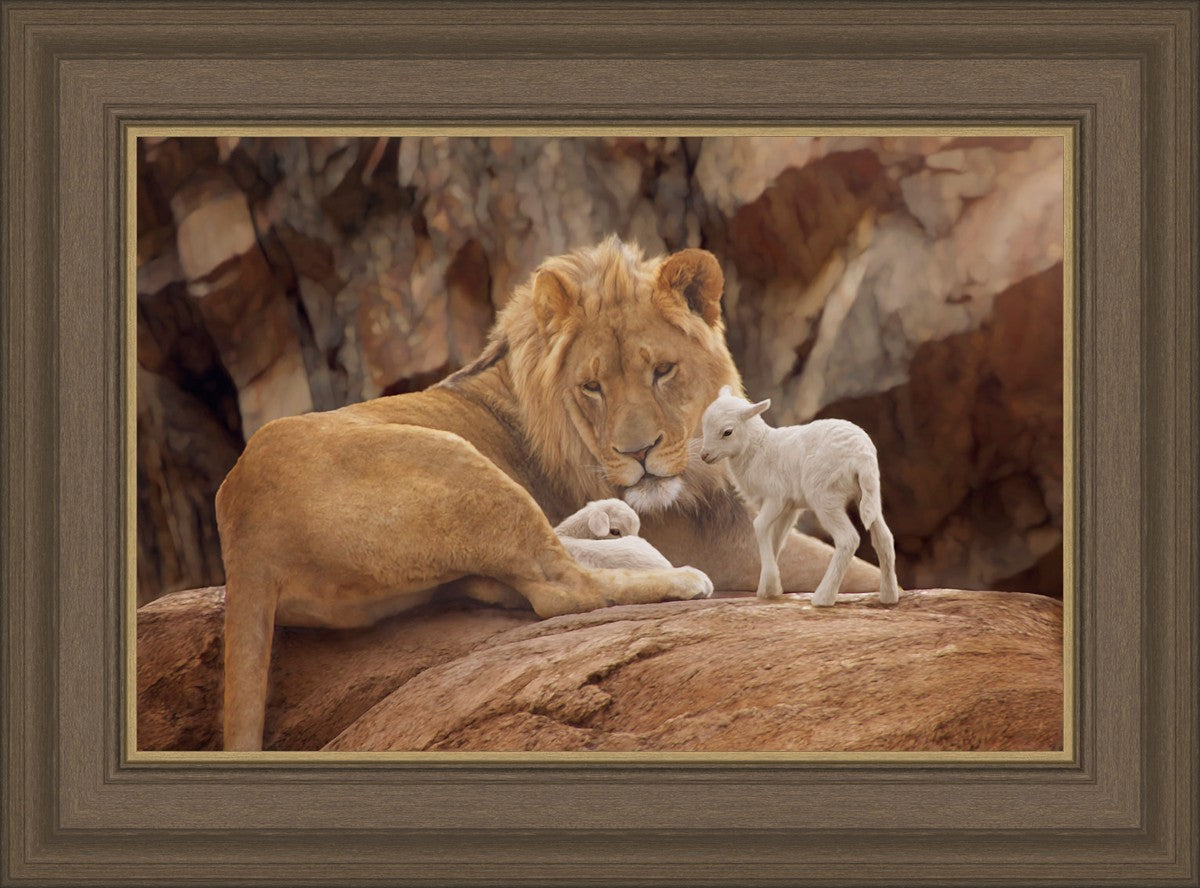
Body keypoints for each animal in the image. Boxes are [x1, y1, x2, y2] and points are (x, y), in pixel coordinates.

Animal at [698, 386, 900, 606]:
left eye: (727, 432)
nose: (704, 455)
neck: (758, 448)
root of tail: (862, 456)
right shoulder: (789, 507)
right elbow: (776, 539)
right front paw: (769, 588)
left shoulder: (775, 497)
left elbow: (759, 526)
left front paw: (770, 584)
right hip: (869, 493)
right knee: (884, 538)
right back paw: (889, 596)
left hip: (825, 495)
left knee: (848, 539)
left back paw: (823, 597)